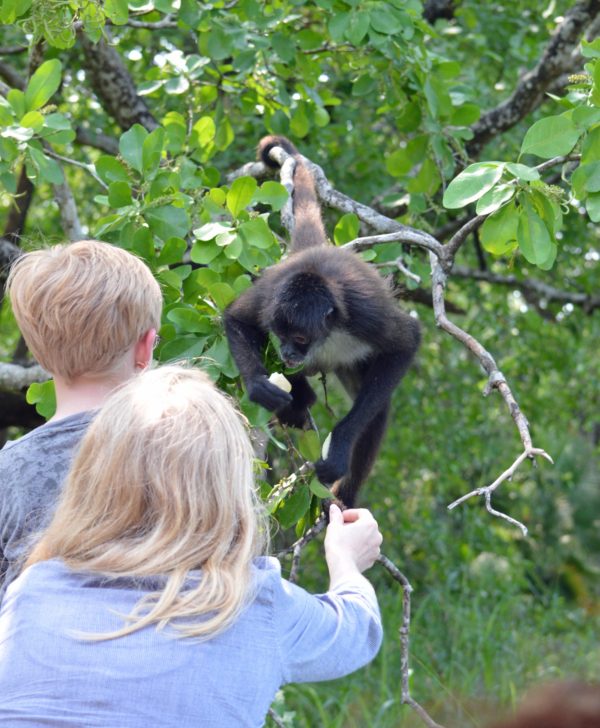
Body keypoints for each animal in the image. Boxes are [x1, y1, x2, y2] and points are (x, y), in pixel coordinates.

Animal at [223, 138, 420, 512]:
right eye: (282, 334)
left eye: (300, 337)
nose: (288, 351)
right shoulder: (272, 296)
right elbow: (236, 318)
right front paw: (259, 387)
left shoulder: (365, 313)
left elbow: (409, 341)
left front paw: (339, 447)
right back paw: (301, 397)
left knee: (376, 410)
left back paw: (346, 494)